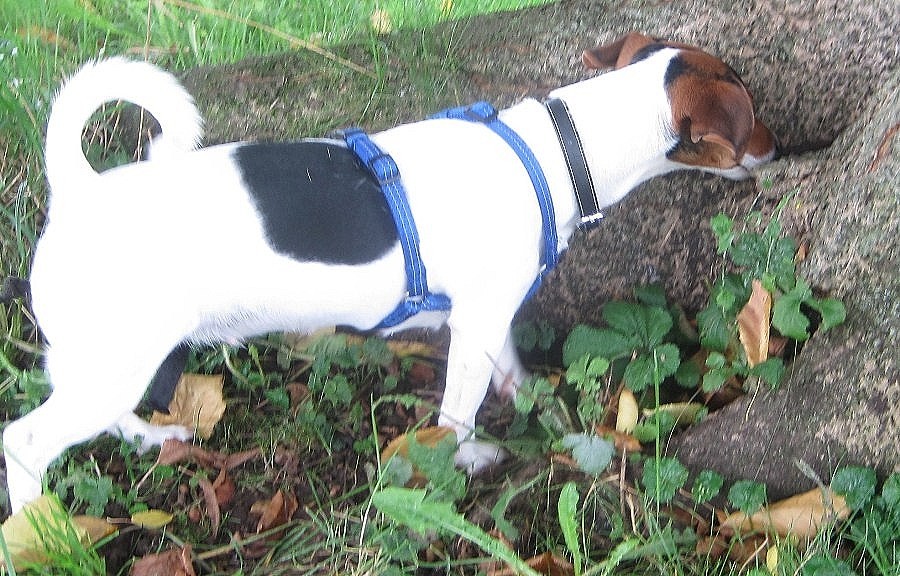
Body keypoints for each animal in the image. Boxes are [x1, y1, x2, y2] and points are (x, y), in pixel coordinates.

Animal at [3, 33, 777, 513]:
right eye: (752, 112)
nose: (777, 148)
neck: (555, 147)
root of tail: (78, 191)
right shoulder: (477, 321)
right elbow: (459, 410)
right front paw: (467, 458)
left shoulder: (489, 321)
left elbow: (515, 379)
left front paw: (545, 417)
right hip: (117, 357)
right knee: (26, 442)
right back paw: (44, 529)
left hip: (107, 359)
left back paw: (146, 438)